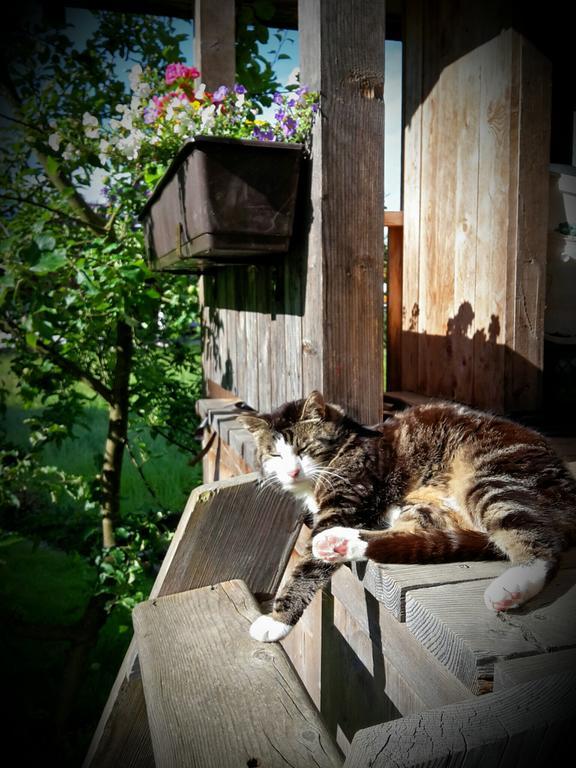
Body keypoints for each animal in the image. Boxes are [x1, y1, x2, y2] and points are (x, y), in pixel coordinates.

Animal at [241, 390, 576, 640]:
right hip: (426, 506)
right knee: (413, 537)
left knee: (541, 544)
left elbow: (306, 569)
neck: (345, 445)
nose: (292, 471)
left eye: (304, 448)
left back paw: (514, 586)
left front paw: (276, 621)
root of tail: (567, 484)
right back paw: (339, 543)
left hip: (493, 480)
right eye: (275, 455)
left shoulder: (344, 503)